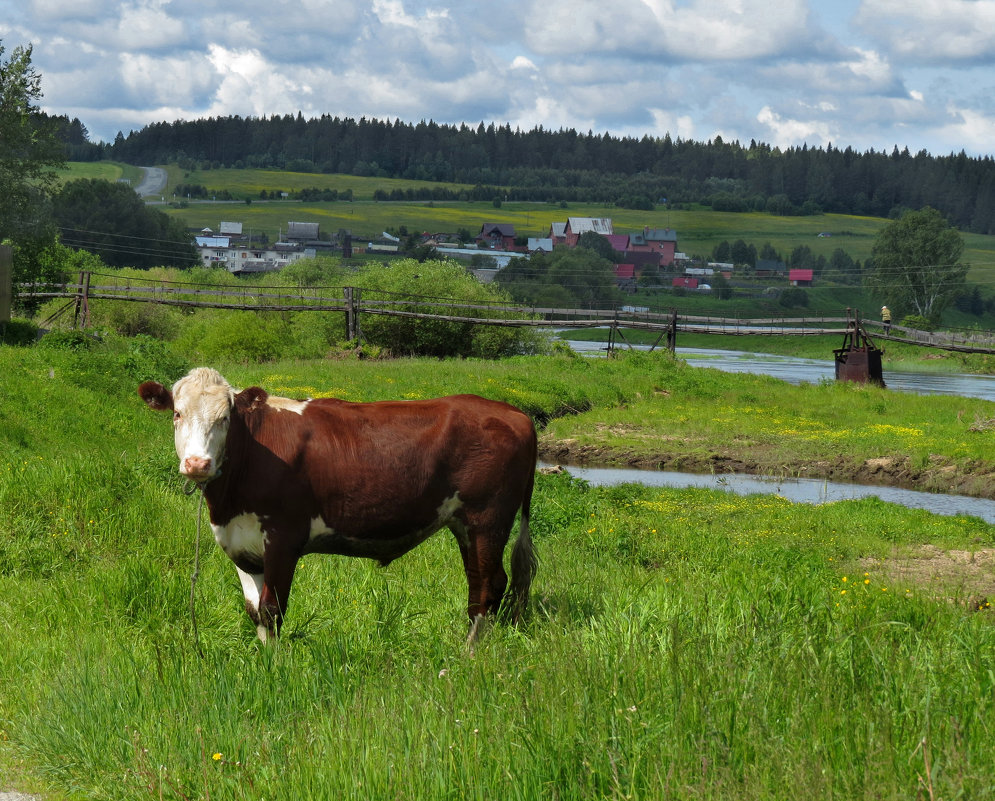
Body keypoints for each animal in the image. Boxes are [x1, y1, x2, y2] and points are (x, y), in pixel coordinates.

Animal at [140, 370, 536, 644]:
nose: (197, 464)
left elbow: (273, 609)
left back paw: (469, 653)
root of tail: (515, 413)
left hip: (488, 518)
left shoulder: (284, 537)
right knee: (482, 581)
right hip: (464, 523)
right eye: (177, 414)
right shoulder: (239, 542)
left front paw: (276, 670)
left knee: (489, 584)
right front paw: (262, 662)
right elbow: (255, 611)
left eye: (225, 418)